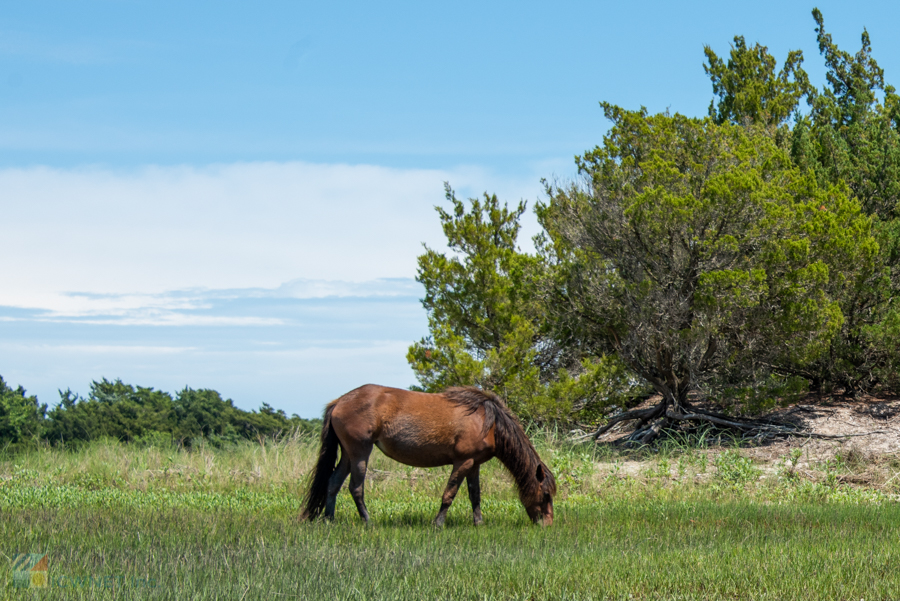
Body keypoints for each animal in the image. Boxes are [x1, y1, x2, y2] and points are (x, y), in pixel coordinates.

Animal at [302, 384, 556, 524]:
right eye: (545, 495)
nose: (548, 524)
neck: (489, 422)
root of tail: (339, 402)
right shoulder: (463, 462)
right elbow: (449, 494)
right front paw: (438, 523)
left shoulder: (474, 464)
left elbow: (475, 495)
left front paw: (479, 523)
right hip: (360, 452)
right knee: (356, 488)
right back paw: (367, 521)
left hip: (348, 454)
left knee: (333, 483)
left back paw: (329, 519)